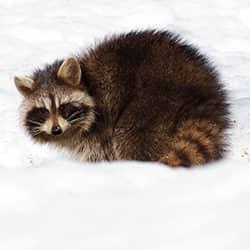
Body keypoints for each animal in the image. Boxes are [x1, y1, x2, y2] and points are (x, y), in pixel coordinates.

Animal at [14, 29, 230, 166]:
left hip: (154, 104)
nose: (56, 130)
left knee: (130, 137)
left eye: (63, 107)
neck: (87, 83)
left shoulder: (99, 127)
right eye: (43, 110)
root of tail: (203, 95)